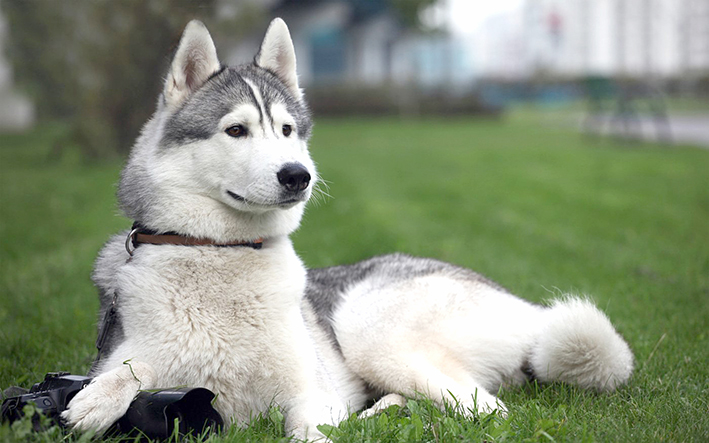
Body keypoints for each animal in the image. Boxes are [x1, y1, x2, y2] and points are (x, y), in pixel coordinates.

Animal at [63, 17, 632, 440]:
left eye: (287, 130)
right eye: (236, 130)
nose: (298, 175)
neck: (221, 251)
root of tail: (526, 308)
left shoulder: (310, 396)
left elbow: (310, 430)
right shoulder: (134, 353)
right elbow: (127, 369)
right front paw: (97, 399)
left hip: (367, 326)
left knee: (486, 408)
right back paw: (385, 413)